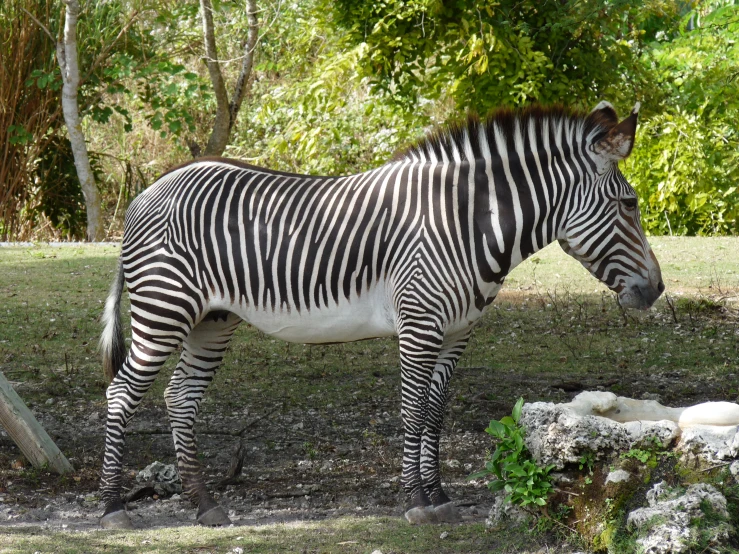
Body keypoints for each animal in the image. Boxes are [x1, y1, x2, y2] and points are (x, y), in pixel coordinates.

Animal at [97, 101, 664, 528]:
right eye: (630, 204)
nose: (656, 290)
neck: (466, 222)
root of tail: (150, 189)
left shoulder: (457, 333)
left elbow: (435, 413)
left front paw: (439, 497)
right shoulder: (420, 324)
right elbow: (413, 411)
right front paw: (415, 501)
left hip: (210, 321)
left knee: (180, 398)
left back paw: (203, 504)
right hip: (164, 310)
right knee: (122, 392)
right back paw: (112, 508)